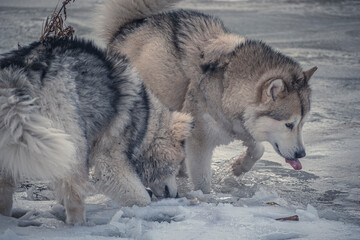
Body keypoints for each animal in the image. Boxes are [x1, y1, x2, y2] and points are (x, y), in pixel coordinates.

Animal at [0, 37, 194, 223]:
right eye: (177, 165)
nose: (177, 194)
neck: (147, 125)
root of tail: (18, 73)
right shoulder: (110, 163)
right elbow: (141, 197)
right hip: (72, 146)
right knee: (74, 195)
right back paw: (79, 225)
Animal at [97, 0, 316, 193]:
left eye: (302, 124)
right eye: (289, 124)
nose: (302, 153)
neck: (226, 86)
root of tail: (127, 27)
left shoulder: (237, 126)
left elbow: (258, 149)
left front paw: (239, 167)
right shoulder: (199, 141)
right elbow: (202, 181)